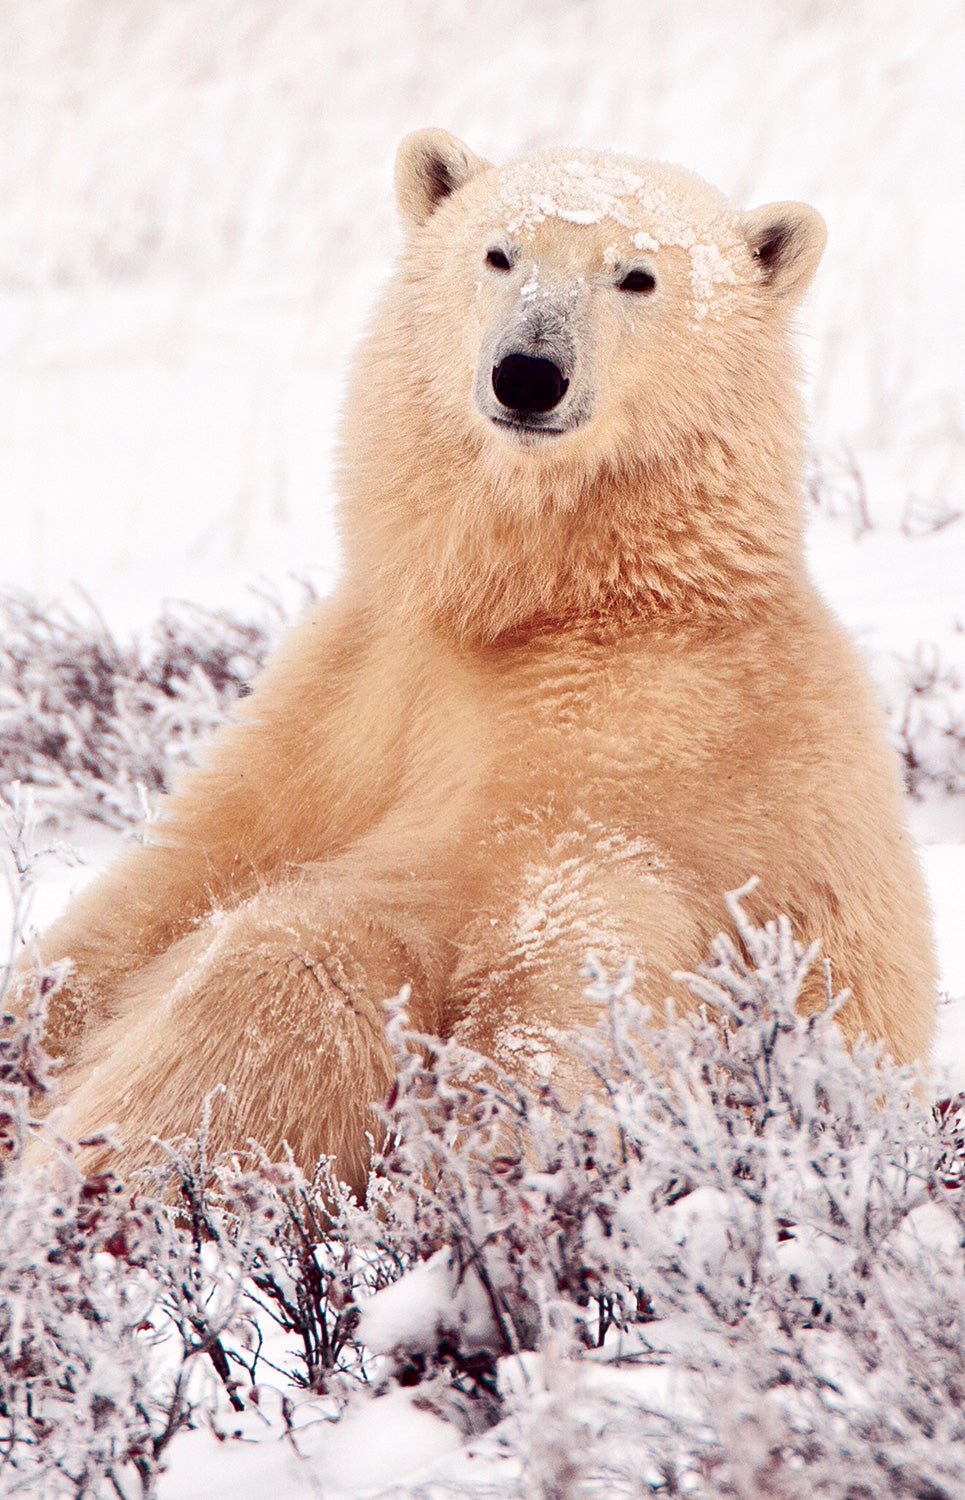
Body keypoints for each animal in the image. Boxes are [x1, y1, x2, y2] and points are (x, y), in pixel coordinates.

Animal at [19, 129, 936, 1198]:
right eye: (498, 253)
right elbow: (160, 889)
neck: (564, 603)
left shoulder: (642, 759)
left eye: (636, 276)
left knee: (288, 968)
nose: (528, 373)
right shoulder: (352, 695)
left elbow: (566, 979)